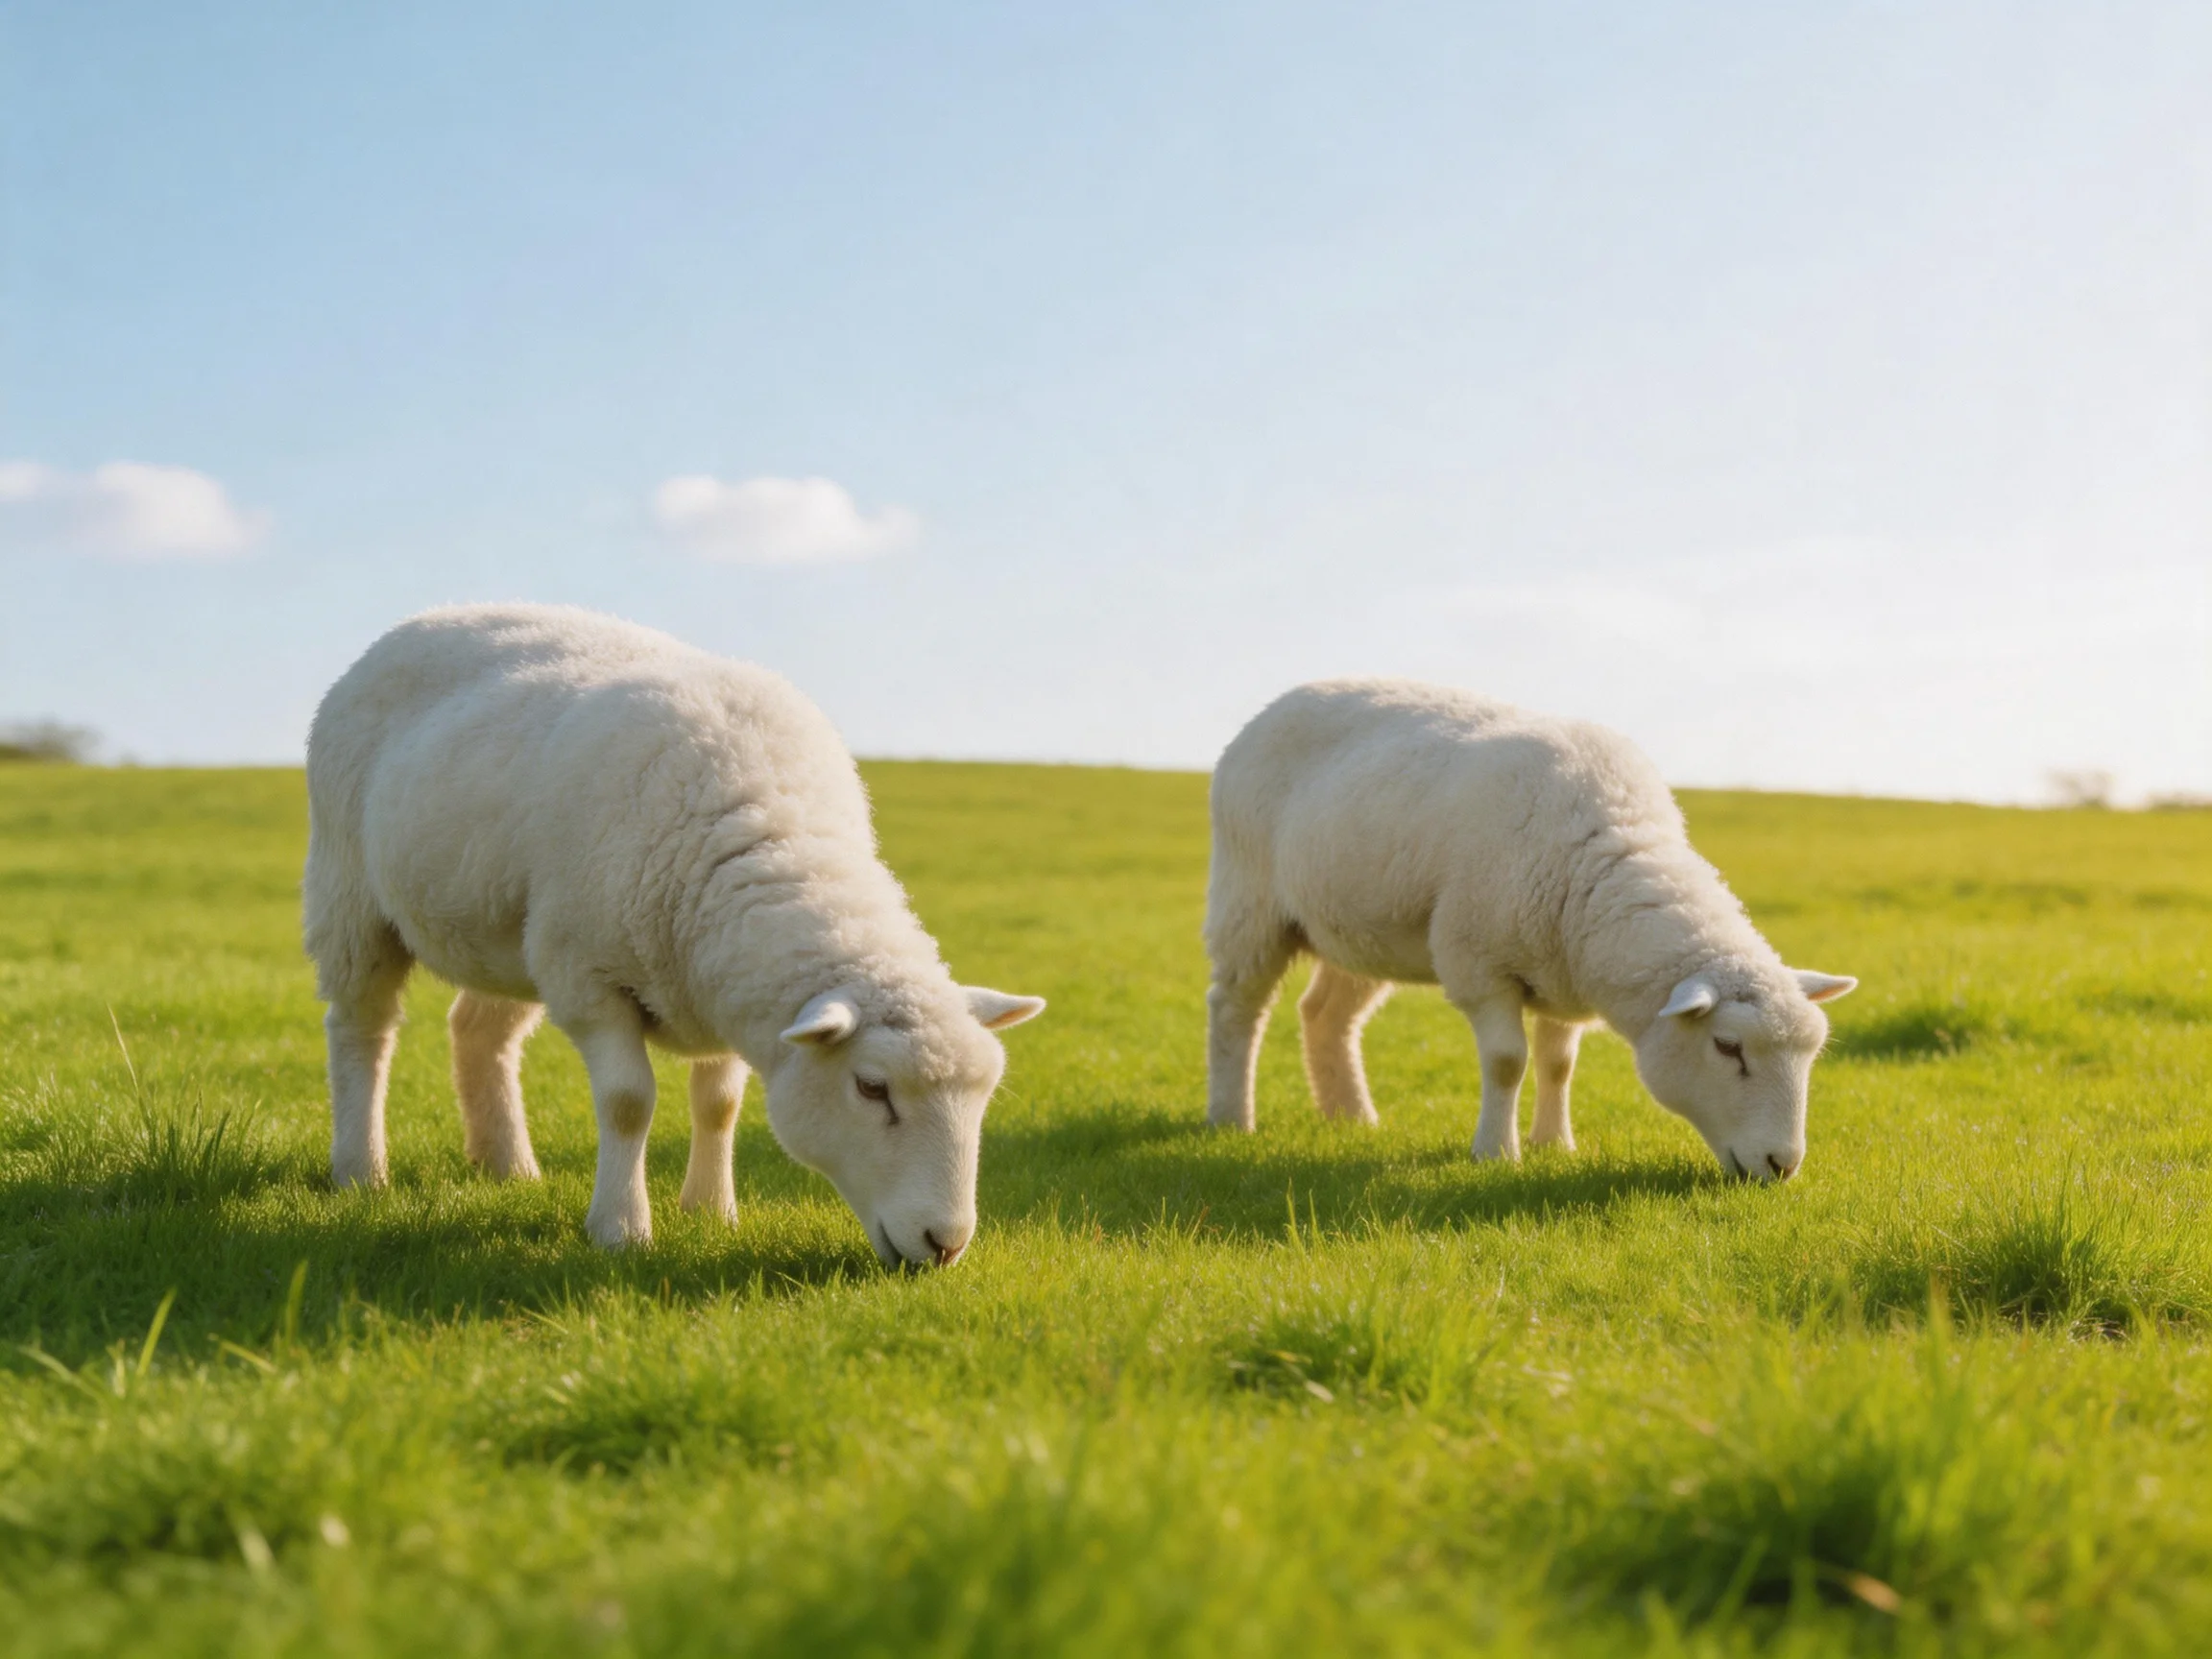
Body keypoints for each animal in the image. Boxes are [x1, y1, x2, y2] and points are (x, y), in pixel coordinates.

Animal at [303, 604, 1044, 1258]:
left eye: (983, 1096)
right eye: (871, 1088)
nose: (945, 1244)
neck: (771, 835)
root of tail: (427, 617)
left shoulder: (722, 981)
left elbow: (719, 1103)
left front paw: (712, 1211)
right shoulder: (587, 977)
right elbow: (629, 1103)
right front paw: (621, 1230)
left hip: (508, 931)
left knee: (479, 1033)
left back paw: (507, 1166)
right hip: (350, 892)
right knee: (361, 1029)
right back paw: (361, 1170)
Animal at [1204, 679, 1855, 1179]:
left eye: (1810, 1054)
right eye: (1727, 1047)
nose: (1783, 1165)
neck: (1606, 853)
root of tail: (1280, 702)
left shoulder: (1561, 971)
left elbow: (1557, 1062)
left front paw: (1554, 1143)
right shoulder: (1478, 962)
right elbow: (1506, 1062)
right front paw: (1496, 1152)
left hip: (1362, 927)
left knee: (1326, 1015)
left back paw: (1351, 1116)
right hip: (1248, 898)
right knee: (1236, 1008)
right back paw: (1232, 1117)